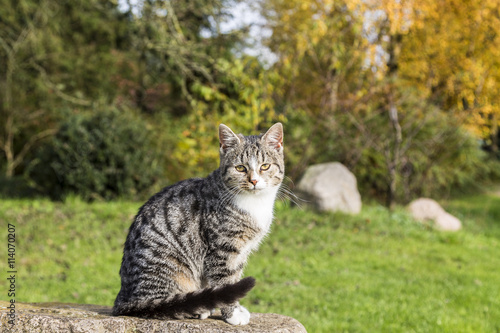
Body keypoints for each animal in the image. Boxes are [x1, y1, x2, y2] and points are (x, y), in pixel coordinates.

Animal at [114, 122, 286, 324]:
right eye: (240, 168)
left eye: (265, 166)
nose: (253, 180)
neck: (254, 203)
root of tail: (122, 298)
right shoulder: (222, 248)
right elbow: (225, 280)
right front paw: (232, 314)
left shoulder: (241, 251)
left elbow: (235, 277)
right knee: (161, 306)